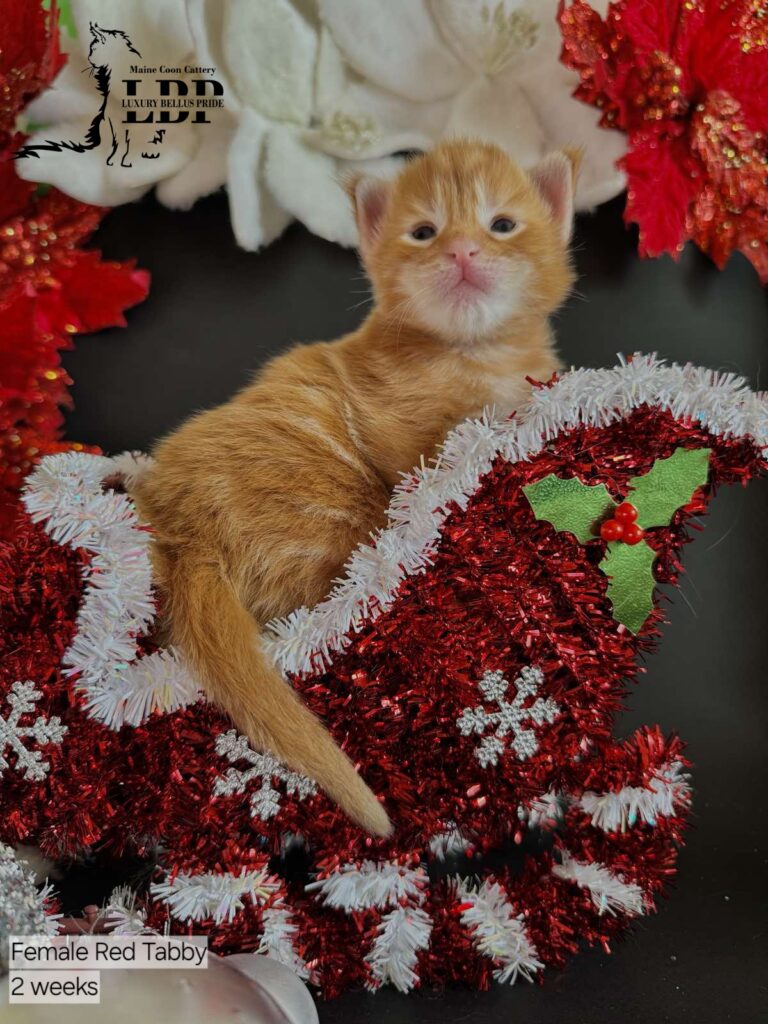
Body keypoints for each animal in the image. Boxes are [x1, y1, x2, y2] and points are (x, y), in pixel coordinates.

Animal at [134, 138, 577, 839]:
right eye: (423, 232)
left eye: (502, 224)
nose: (462, 251)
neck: (472, 352)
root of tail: (184, 534)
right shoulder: (400, 434)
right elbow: (429, 470)